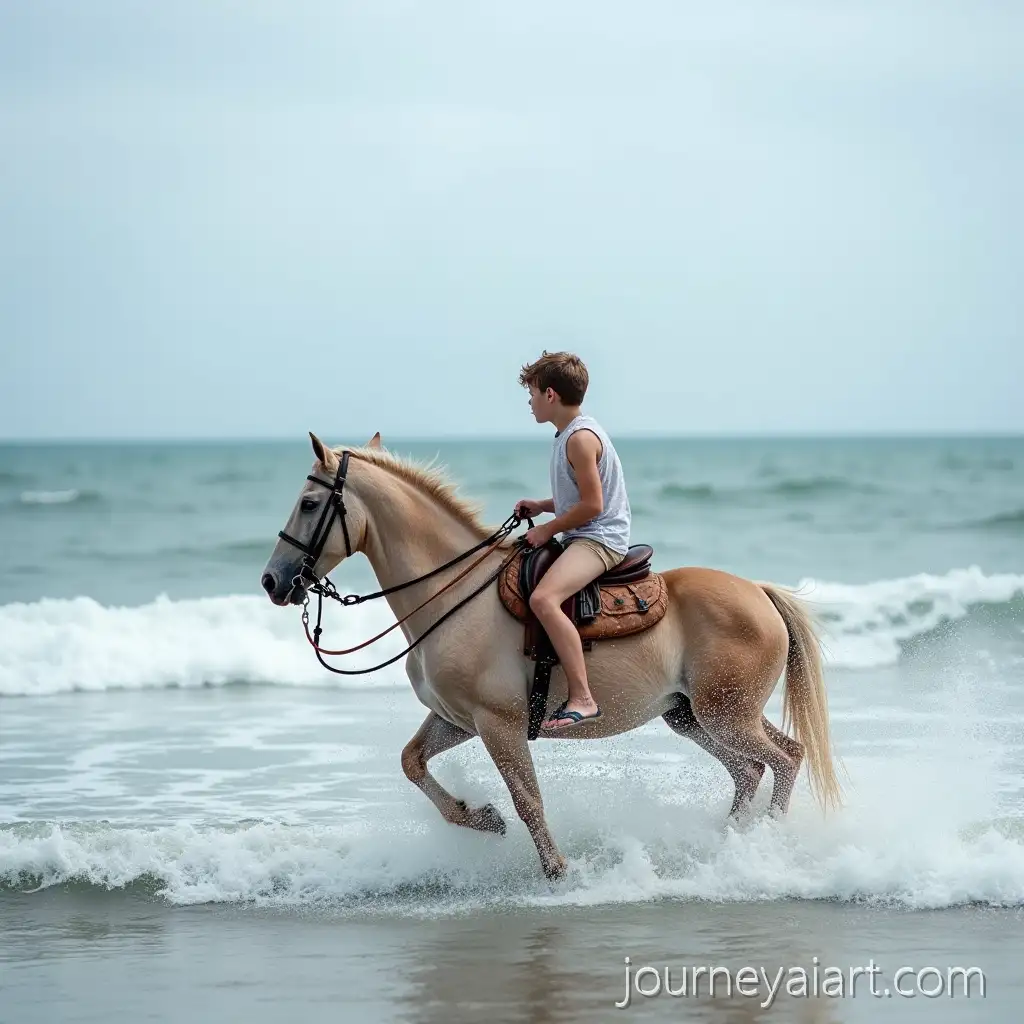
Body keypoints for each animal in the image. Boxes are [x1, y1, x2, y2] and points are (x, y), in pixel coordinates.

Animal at [260, 432, 841, 879]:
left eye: (309, 504)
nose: (272, 580)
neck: (453, 593)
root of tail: (758, 592)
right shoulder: (457, 719)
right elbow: (412, 761)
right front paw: (481, 818)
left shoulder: (499, 724)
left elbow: (528, 799)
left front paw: (556, 871)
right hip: (690, 716)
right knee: (749, 771)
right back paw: (729, 846)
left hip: (727, 714)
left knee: (785, 758)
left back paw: (765, 844)